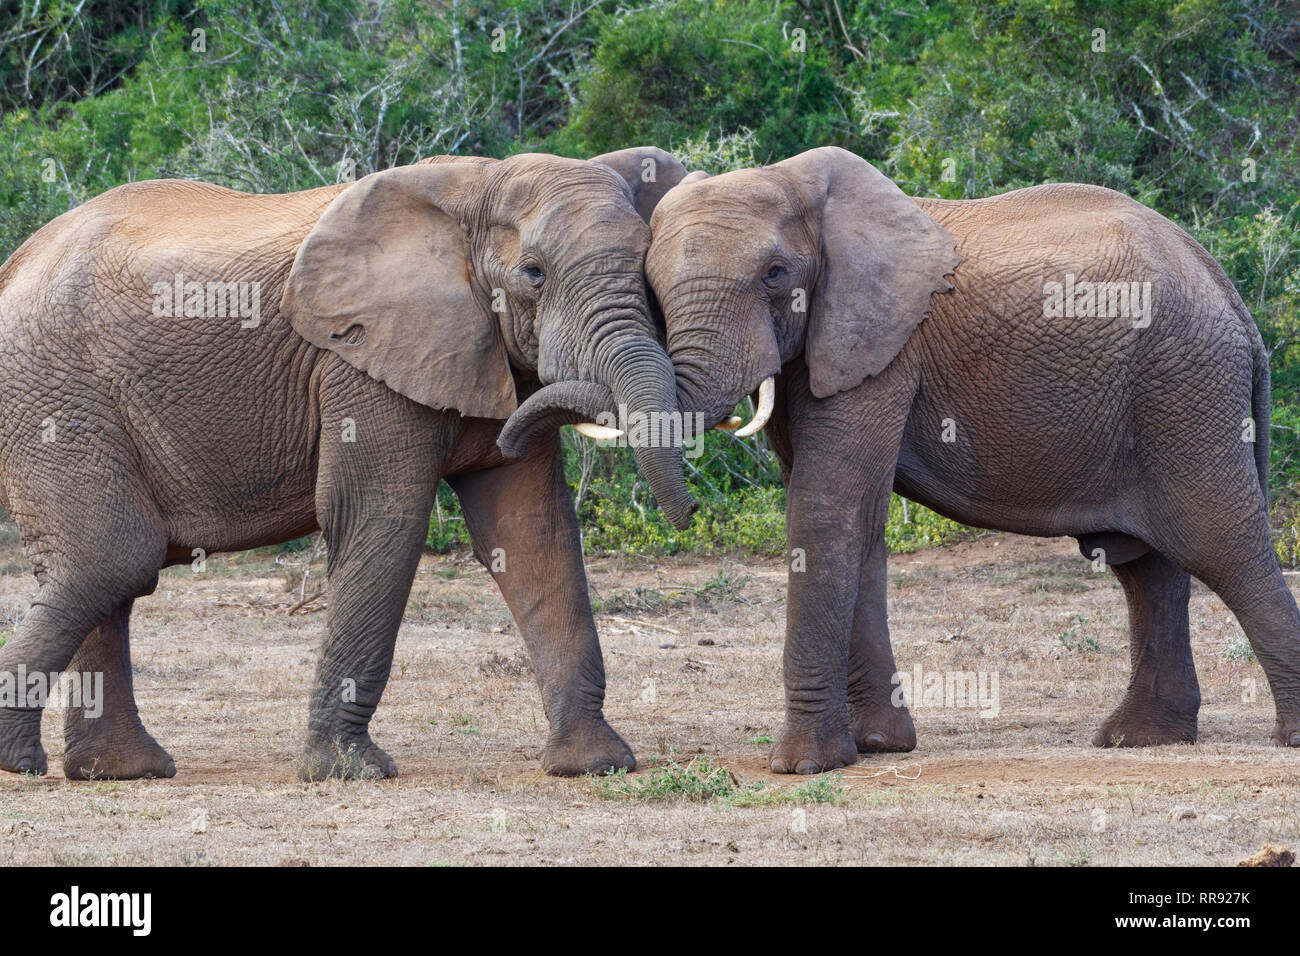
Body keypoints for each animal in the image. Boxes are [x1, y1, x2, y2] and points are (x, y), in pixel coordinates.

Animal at [0, 145, 702, 780]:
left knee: (106, 573)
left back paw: (123, 771)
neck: (477, 189)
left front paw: (595, 766)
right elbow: (381, 520)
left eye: (647, 270)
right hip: (54, 396)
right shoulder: (358, 365)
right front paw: (349, 772)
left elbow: (533, 533)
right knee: (113, 557)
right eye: (534, 273)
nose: (692, 510)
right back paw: (28, 764)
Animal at [621, 147, 1300, 780]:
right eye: (650, 285)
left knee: (1224, 546)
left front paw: (804, 766)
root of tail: (1233, 300)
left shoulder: (881, 346)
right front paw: (879, 745)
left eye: (775, 273)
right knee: (1147, 568)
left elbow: (825, 512)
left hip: (1187, 389)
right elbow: (858, 523)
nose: (691, 511)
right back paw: (1141, 740)